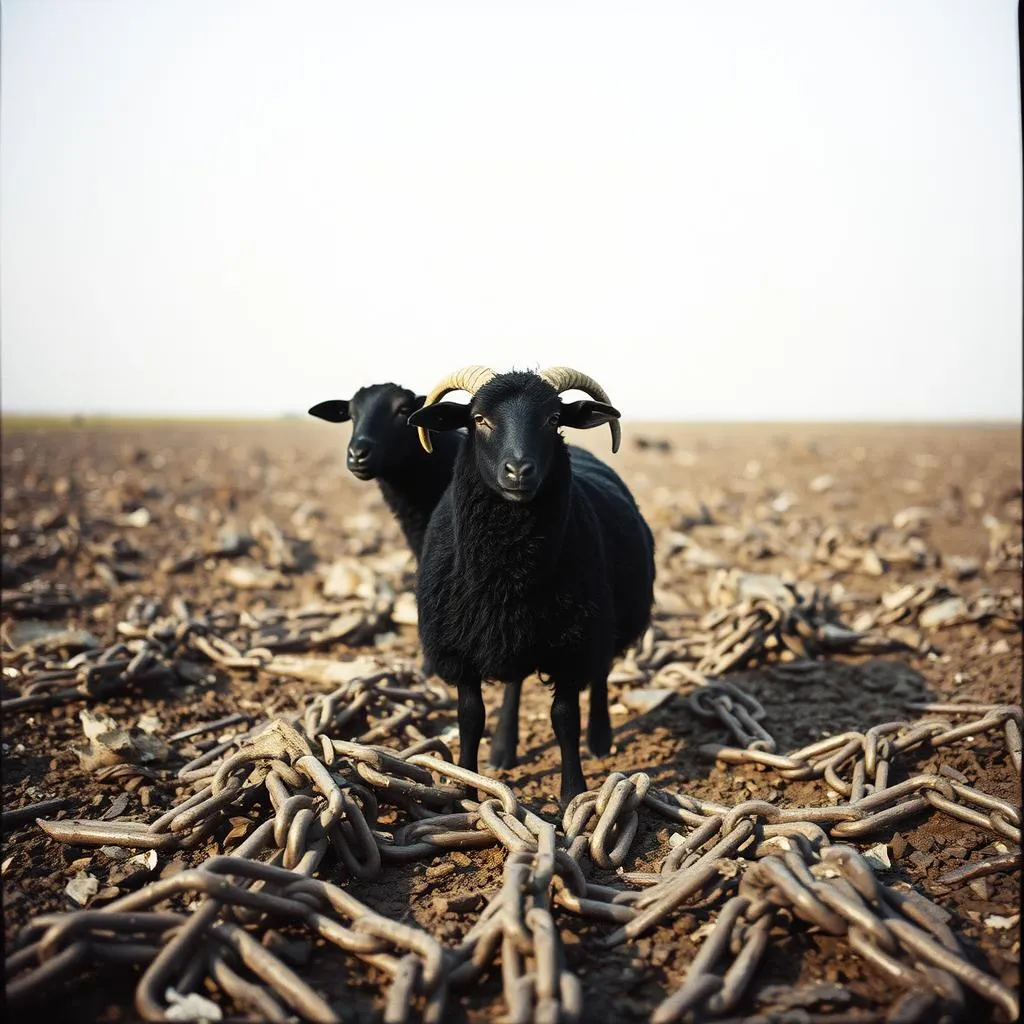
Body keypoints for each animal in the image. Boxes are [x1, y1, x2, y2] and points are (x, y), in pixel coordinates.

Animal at [409, 365, 655, 804]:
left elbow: (565, 718)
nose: (518, 471)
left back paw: (600, 738)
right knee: (516, 685)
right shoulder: (459, 649)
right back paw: (504, 748)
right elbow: (470, 718)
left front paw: (573, 791)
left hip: (605, 623)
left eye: (553, 419)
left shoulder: (574, 645)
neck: (509, 579)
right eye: (479, 419)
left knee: (602, 674)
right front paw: (467, 785)